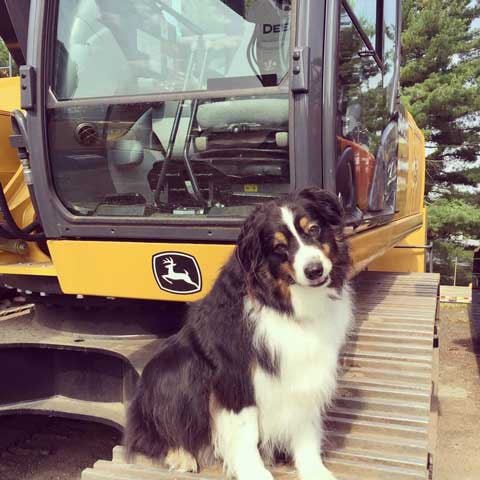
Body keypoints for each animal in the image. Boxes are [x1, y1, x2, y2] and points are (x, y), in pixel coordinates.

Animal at [125, 188, 354, 480]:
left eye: (314, 229)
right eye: (279, 247)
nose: (314, 270)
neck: (285, 304)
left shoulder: (305, 370)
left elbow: (305, 426)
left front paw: (315, 470)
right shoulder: (235, 376)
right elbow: (246, 432)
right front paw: (254, 472)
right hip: (176, 369)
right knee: (151, 434)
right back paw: (181, 455)